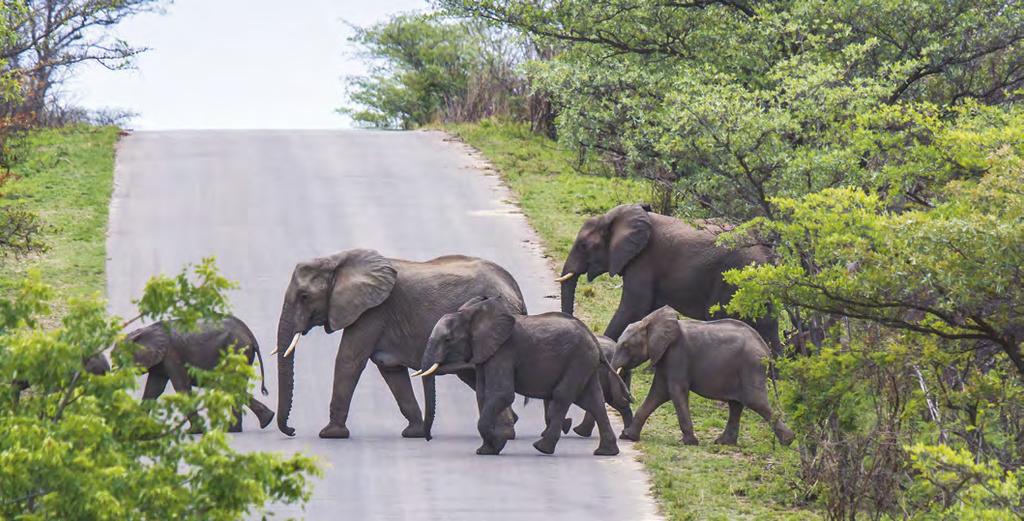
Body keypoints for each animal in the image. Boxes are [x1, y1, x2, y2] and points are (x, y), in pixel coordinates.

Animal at [123, 315, 274, 431]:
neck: (145, 330)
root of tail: (251, 337)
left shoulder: (172, 355)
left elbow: (181, 387)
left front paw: (194, 431)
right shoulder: (161, 362)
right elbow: (153, 390)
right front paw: (135, 429)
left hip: (237, 351)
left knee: (231, 384)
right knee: (233, 385)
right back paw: (258, 422)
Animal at [274, 247, 524, 438]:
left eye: (304, 296)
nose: (292, 430)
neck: (336, 260)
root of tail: (515, 289)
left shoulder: (372, 312)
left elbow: (349, 360)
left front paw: (330, 434)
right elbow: (391, 370)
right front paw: (413, 433)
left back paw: (504, 431)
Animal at [415, 296, 622, 454]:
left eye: (448, 339)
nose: (428, 438)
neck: (472, 315)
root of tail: (593, 338)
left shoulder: (504, 352)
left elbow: (502, 394)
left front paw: (498, 444)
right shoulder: (484, 353)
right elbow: (482, 394)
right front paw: (487, 450)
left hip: (578, 360)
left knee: (563, 396)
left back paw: (542, 448)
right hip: (585, 363)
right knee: (593, 400)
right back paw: (605, 452)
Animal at [610, 307, 794, 444]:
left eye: (626, 346)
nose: (629, 397)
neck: (651, 322)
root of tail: (766, 349)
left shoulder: (678, 355)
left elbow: (674, 392)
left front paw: (689, 442)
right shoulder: (665, 358)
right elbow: (658, 393)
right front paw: (628, 436)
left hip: (751, 367)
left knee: (755, 401)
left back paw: (788, 441)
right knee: (736, 404)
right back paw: (723, 443)